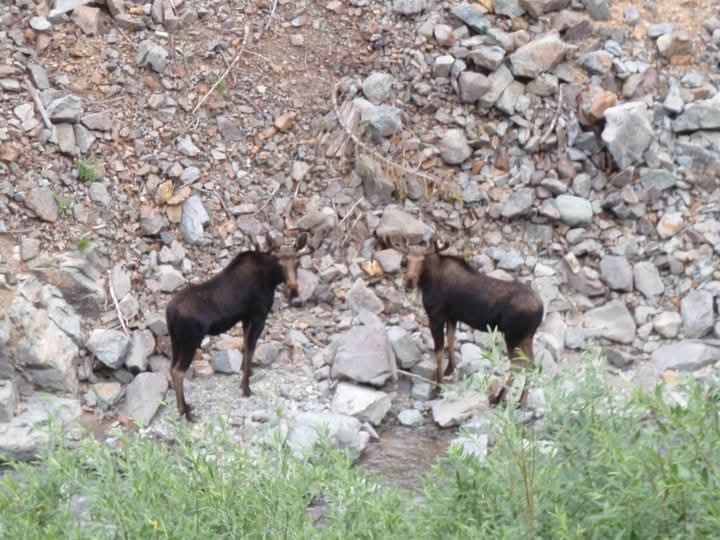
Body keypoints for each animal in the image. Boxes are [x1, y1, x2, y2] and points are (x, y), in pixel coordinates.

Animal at [169, 230, 316, 420]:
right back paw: (185, 412)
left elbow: (245, 346)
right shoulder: (259, 315)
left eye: (297, 263)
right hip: (190, 340)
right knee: (178, 372)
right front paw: (246, 388)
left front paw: (246, 377)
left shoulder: (245, 318)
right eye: (279, 263)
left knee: (171, 368)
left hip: (175, 340)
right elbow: (251, 349)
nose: (293, 286)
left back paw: (186, 406)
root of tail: (170, 312)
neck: (270, 279)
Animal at [386, 235, 544, 404]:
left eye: (423, 260)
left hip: (512, 336)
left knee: (518, 366)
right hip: (526, 336)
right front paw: (449, 370)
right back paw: (521, 401)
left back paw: (499, 398)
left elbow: (439, 351)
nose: (409, 282)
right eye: (406, 259)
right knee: (532, 365)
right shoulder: (452, 317)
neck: (427, 281)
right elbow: (451, 341)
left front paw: (438, 386)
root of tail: (541, 309)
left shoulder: (436, 316)